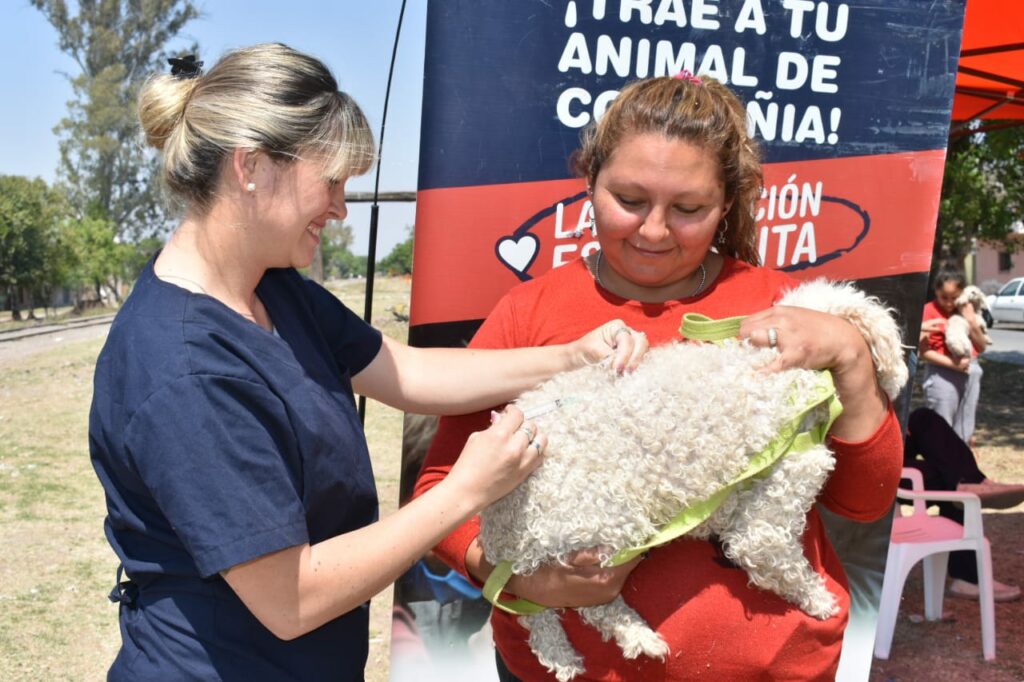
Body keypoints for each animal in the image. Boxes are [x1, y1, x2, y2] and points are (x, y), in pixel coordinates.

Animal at [479, 278, 905, 679]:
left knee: (537, 610)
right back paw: (636, 637)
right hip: (606, 525)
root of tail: (497, 525)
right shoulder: (776, 500)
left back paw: (561, 654)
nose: (894, 385)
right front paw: (818, 600)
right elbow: (770, 557)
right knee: (586, 605)